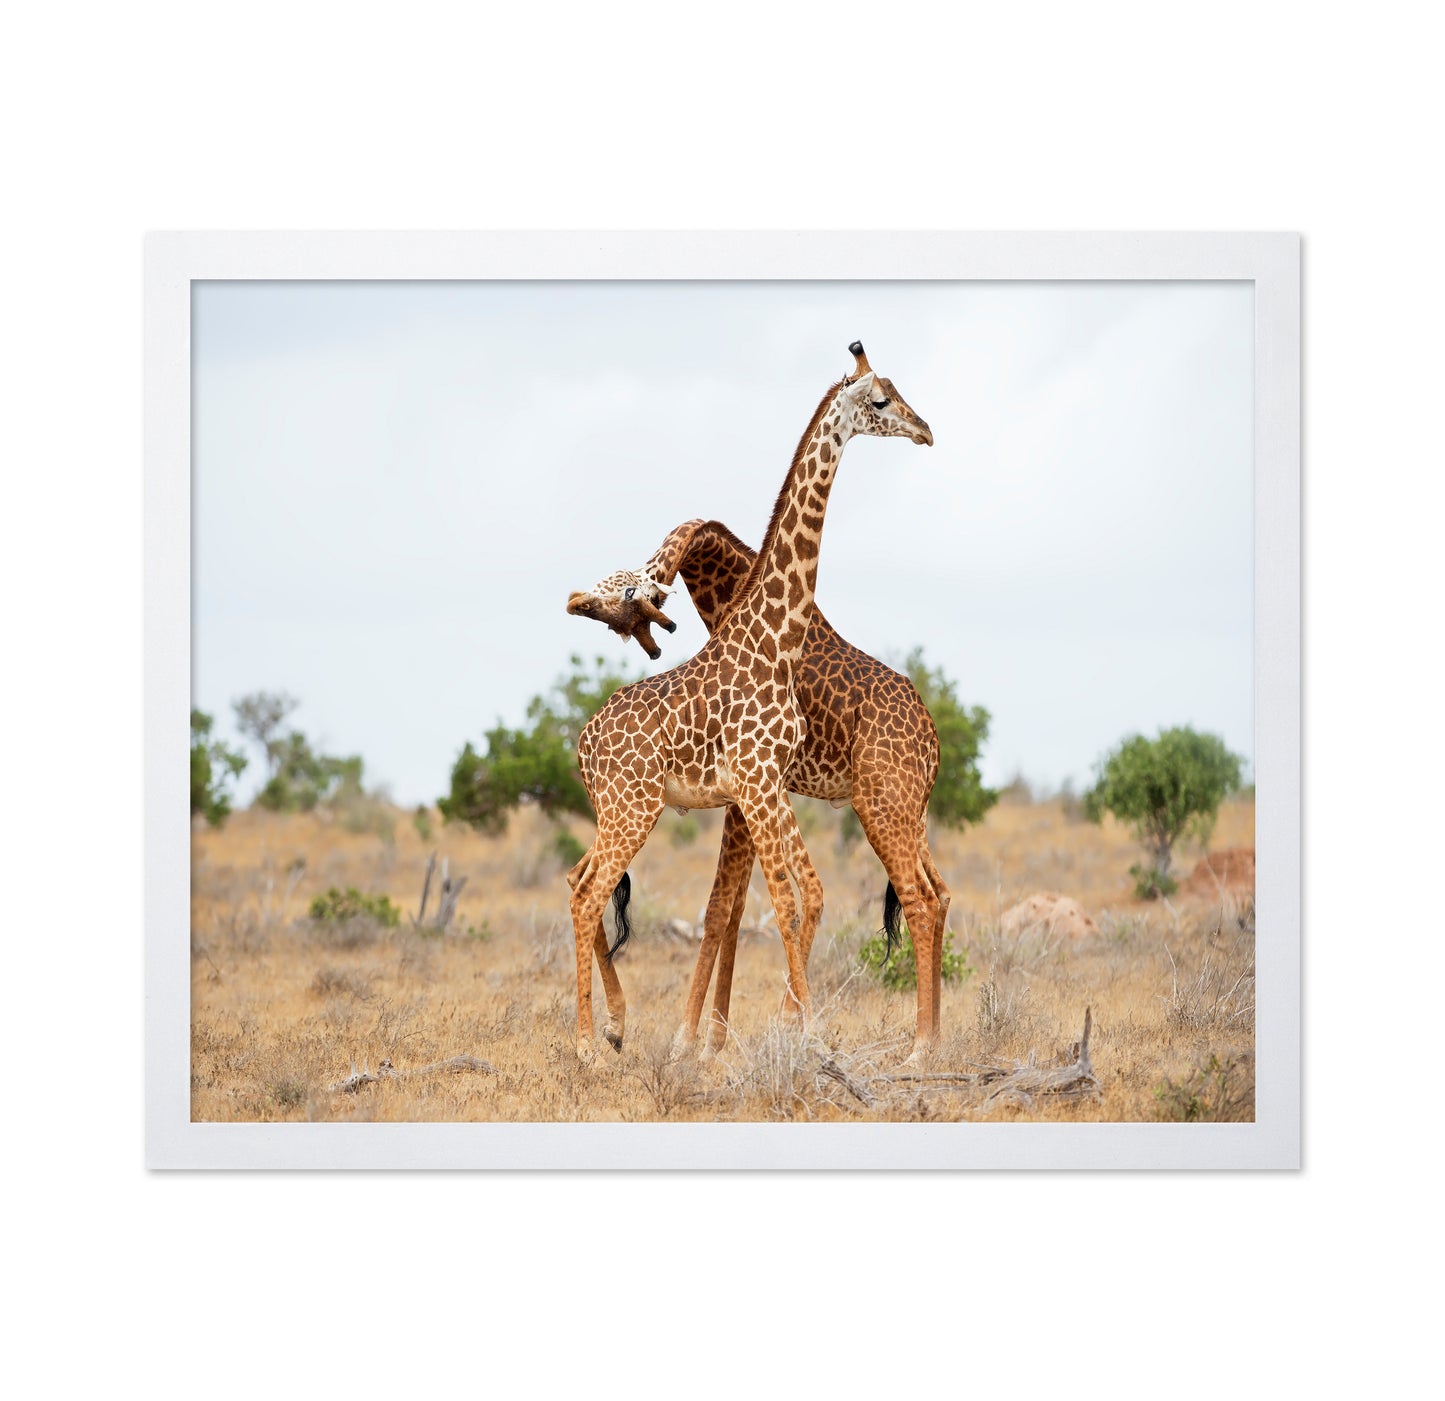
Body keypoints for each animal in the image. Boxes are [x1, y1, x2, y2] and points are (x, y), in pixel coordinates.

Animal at [564, 343, 932, 1061]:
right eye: (880, 400)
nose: (926, 430)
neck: (774, 638)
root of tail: (583, 742)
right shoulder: (758, 785)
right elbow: (781, 903)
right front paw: (794, 1033)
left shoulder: (765, 787)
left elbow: (795, 896)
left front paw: (773, 1032)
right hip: (634, 810)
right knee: (588, 892)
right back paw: (592, 1041)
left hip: (630, 811)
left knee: (579, 882)